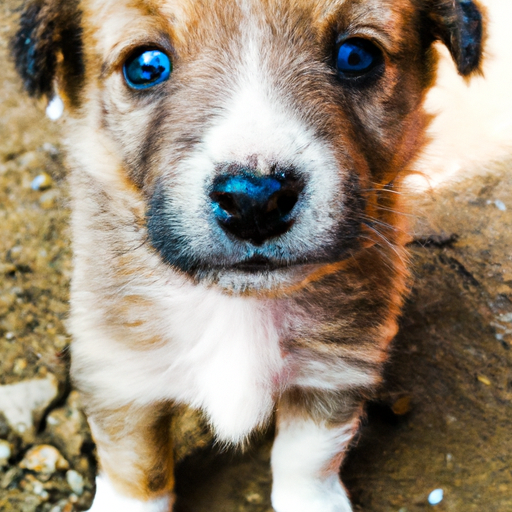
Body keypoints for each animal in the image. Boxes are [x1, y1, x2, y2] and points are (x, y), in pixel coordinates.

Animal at [12, 2, 484, 510]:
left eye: (357, 56)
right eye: (146, 66)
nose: (255, 200)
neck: (238, 306)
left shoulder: (334, 369)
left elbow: (308, 455)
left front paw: (312, 502)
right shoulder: (121, 371)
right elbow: (136, 466)